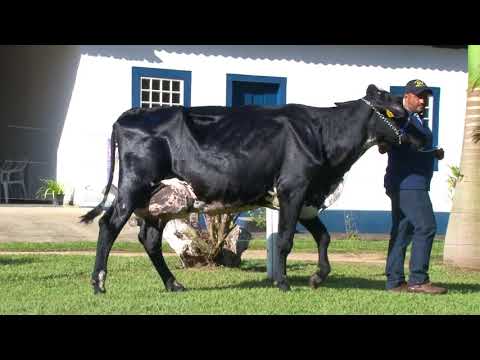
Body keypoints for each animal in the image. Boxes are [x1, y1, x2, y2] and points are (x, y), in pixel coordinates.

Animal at [81, 84, 424, 292]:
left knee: (149, 239)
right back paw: (98, 283)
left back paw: (173, 284)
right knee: (109, 225)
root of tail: (133, 112)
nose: (426, 140)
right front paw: (284, 283)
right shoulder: (293, 188)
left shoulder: (307, 196)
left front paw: (318, 276)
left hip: (161, 200)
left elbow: (324, 236)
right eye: (400, 114)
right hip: (134, 186)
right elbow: (285, 240)